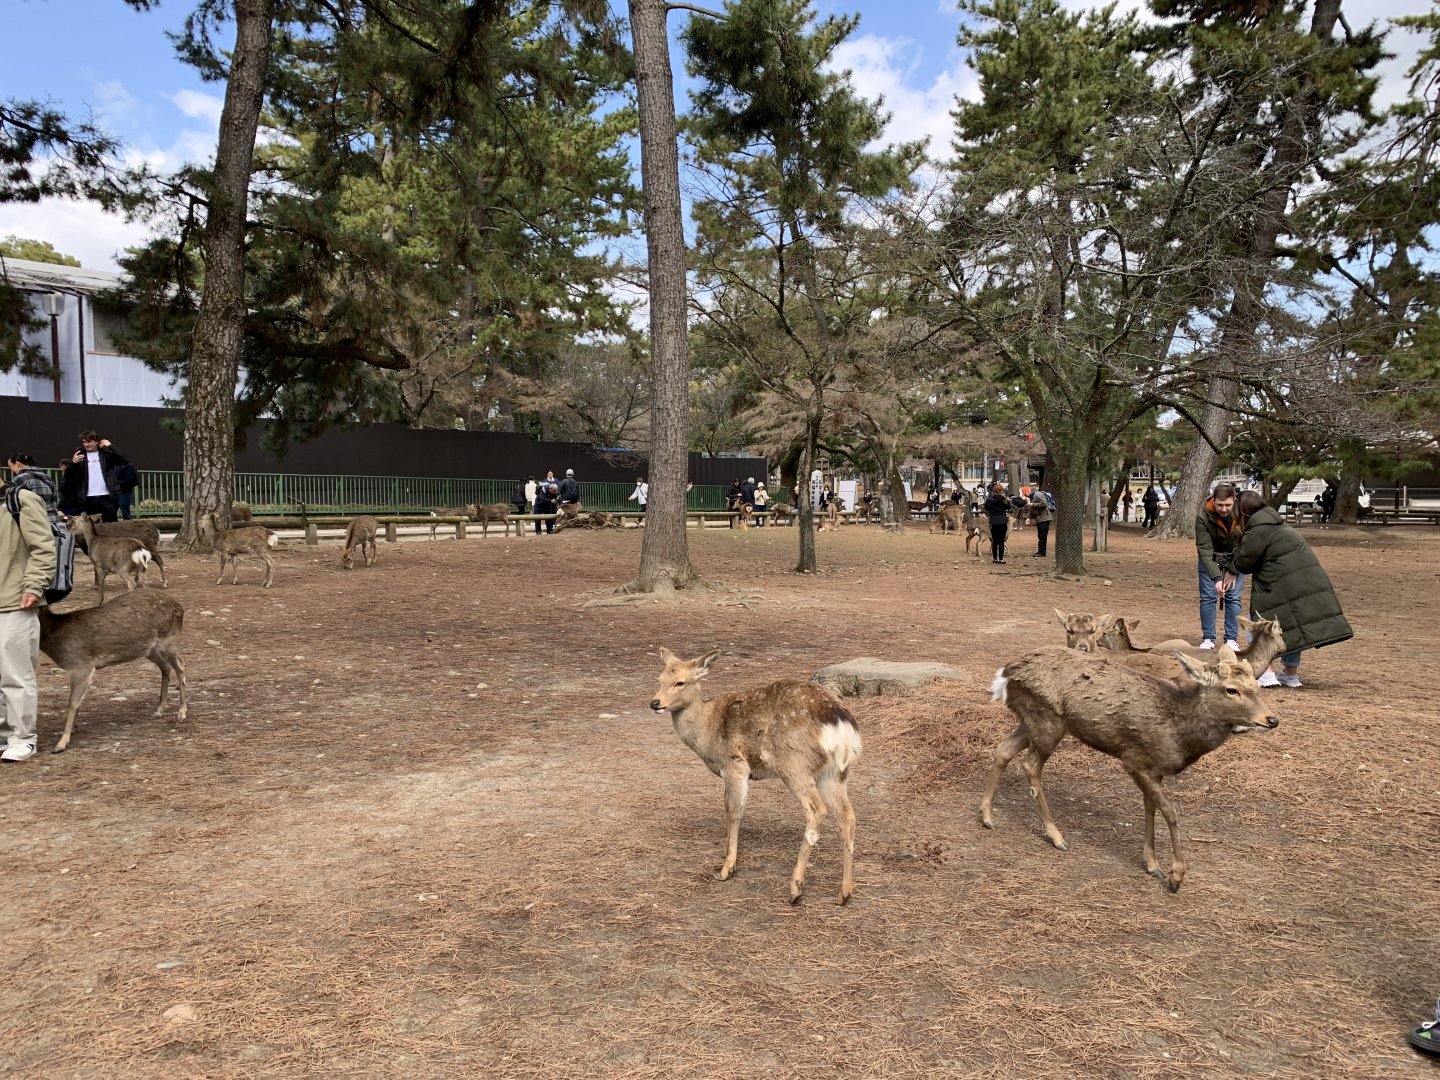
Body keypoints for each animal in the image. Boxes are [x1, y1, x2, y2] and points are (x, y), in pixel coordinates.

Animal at [39, 590, 187, 753]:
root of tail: (180, 608)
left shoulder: (82, 663)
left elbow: (72, 702)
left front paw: (61, 742)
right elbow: (77, 701)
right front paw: (72, 731)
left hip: (168, 639)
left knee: (180, 665)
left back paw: (182, 712)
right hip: (149, 648)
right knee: (165, 667)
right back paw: (160, 709)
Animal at [650, 648, 862, 905]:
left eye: (680, 681)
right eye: (659, 679)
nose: (655, 702)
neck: (707, 730)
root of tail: (841, 725)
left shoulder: (735, 764)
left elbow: (734, 810)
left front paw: (727, 868)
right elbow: (726, 806)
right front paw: (725, 851)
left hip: (794, 764)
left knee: (816, 810)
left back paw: (795, 888)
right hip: (835, 773)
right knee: (847, 815)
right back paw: (844, 893)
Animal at [981, 645, 1278, 891]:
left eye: (1256, 686)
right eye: (1232, 690)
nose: (1271, 719)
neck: (1179, 735)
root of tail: (1005, 674)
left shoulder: (1154, 769)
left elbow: (1150, 808)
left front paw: (1153, 865)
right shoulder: (1134, 760)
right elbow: (1169, 812)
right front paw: (1176, 876)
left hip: (1031, 721)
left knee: (1003, 749)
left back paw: (987, 816)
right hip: (1047, 721)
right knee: (1030, 764)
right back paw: (1056, 836)